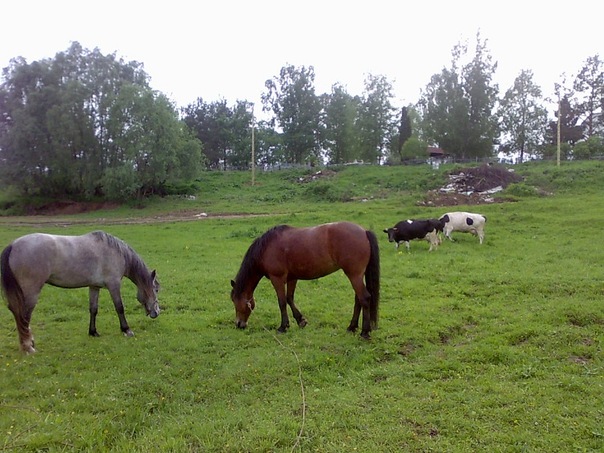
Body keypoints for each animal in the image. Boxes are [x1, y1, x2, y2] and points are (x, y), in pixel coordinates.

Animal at [1, 231, 161, 353]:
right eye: (157, 290)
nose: (157, 312)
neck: (115, 252)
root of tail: (13, 245)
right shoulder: (114, 285)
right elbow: (119, 307)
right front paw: (126, 330)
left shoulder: (94, 287)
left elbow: (93, 309)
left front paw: (93, 332)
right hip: (31, 293)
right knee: (24, 316)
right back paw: (28, 347)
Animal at [230, 221, 380, 339]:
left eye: (235, 301)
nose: (239, 324)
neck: (266, 248)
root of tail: (364, 231)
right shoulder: (292, 278)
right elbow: (289, 298)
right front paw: (300, 321)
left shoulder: (277, 279)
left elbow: (282, 302)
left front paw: (283, 327)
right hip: (357, 276)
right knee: (358, 300)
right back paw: (352, 327)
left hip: (354, 275)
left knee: (364, 298)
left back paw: (365, 332)